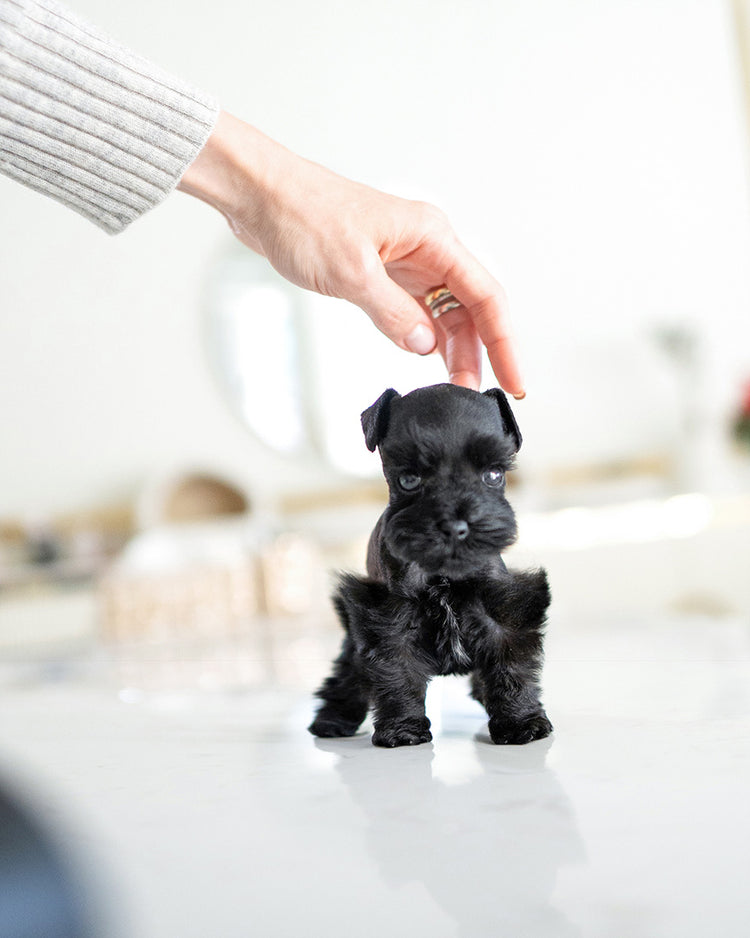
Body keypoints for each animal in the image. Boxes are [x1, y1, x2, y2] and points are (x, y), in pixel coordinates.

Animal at [310, 380, 552, 744]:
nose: (455, 526)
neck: (444, 575)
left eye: (493, 474)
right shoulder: (388, 617)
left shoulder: (502, 611)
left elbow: (511, 666)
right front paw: (403, 730)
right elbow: (396, 674)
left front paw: (521, 723)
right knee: (346, 679)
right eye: (409, 479)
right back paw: (331, 721)